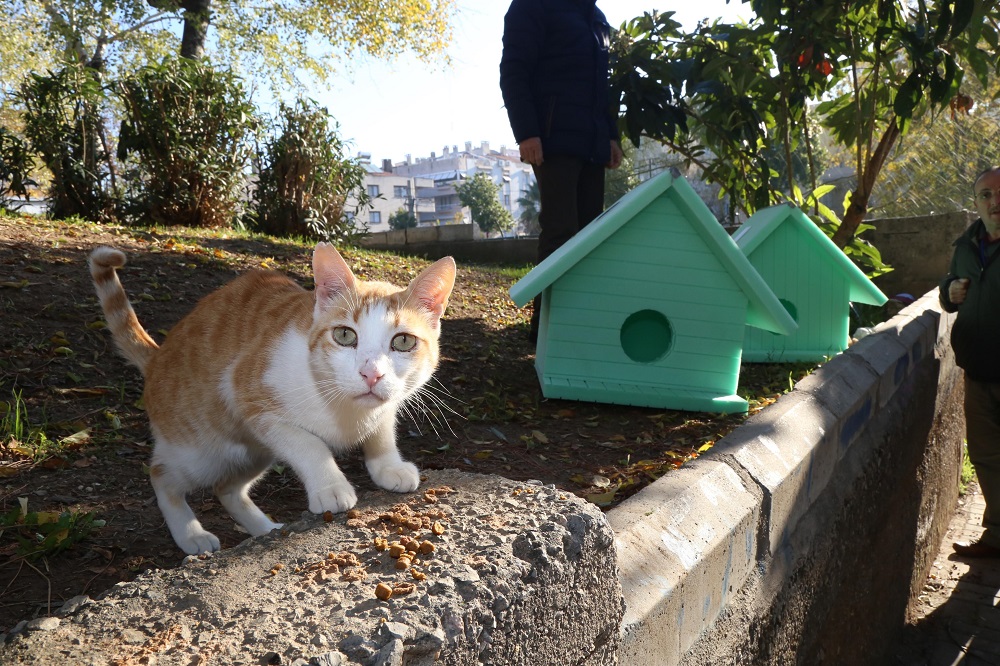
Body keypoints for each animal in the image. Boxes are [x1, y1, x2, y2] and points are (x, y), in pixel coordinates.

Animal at [90, 241, 458, 552]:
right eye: (344, 335)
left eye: (403, 342)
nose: (371, 374)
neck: (345, 409)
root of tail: (157, 358)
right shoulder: (248, 397)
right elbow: (309, 444)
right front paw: (330, 485)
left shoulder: (385, 403)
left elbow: (382, 428)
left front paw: (388, 465)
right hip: (201, 449)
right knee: (162, 474)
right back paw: (191, 534)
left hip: (254, 452)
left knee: (227, 488)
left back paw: (264, 528)